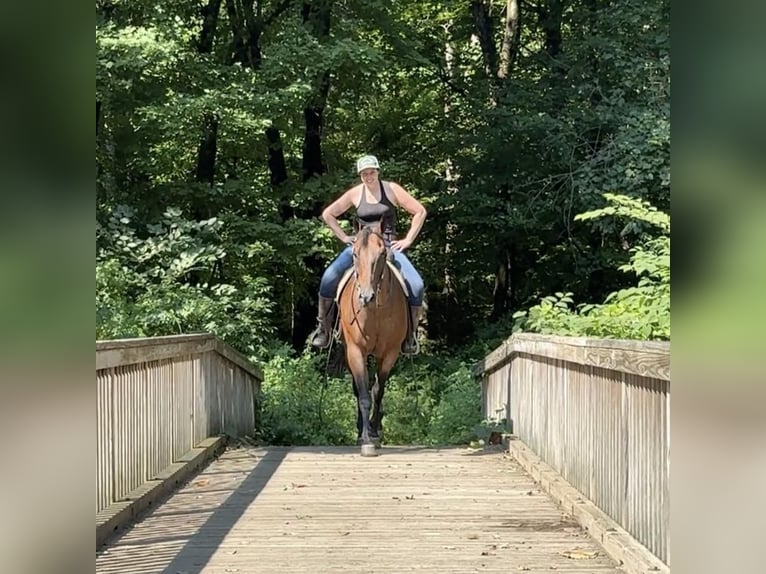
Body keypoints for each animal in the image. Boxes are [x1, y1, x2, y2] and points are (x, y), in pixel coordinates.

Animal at [340, 223, 412, 456]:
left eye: (381, 254)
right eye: (354, 254)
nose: (366, 296)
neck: (376, 310)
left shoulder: (390, 353)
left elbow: (378, 392)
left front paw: (374, 432)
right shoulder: (355, 351)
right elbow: (363, 395)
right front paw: (365, 439)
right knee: (357, 390)